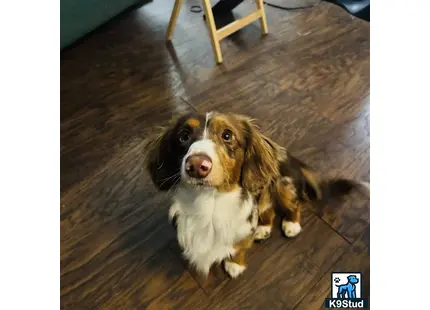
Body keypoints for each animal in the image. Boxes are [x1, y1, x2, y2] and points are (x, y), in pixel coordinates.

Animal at [145, 111, 370, 278]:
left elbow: (239, 247)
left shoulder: (242, 228)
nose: (197, 165)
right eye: (183, 136)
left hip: (281, 183)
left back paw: (291, 224)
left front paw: (235, 265)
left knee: (293, 205)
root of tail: (295, 161)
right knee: (268, 211)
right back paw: (263, 228)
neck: (209, 200)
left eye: (227, 135)